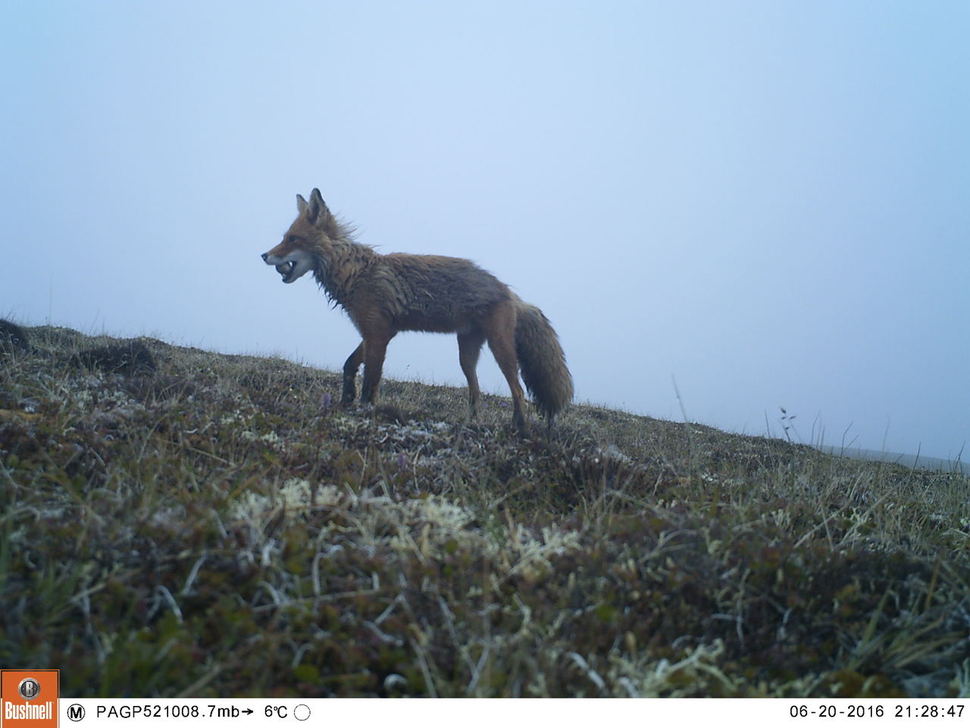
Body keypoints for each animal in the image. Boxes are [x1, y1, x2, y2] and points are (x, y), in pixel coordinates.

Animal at [260, 189, 572, 432]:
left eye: (292, 239)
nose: (264, 255)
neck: (355, 272)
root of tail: (509, 291)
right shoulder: (373, 331)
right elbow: (350, 365)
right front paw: (346, 397)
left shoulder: (379, 333)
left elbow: (371, 381)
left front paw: (364, 410)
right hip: (466, 355)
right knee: (476, 391)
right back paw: (471, 421)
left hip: (501, 349)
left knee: (517, 390)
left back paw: (519, 427)